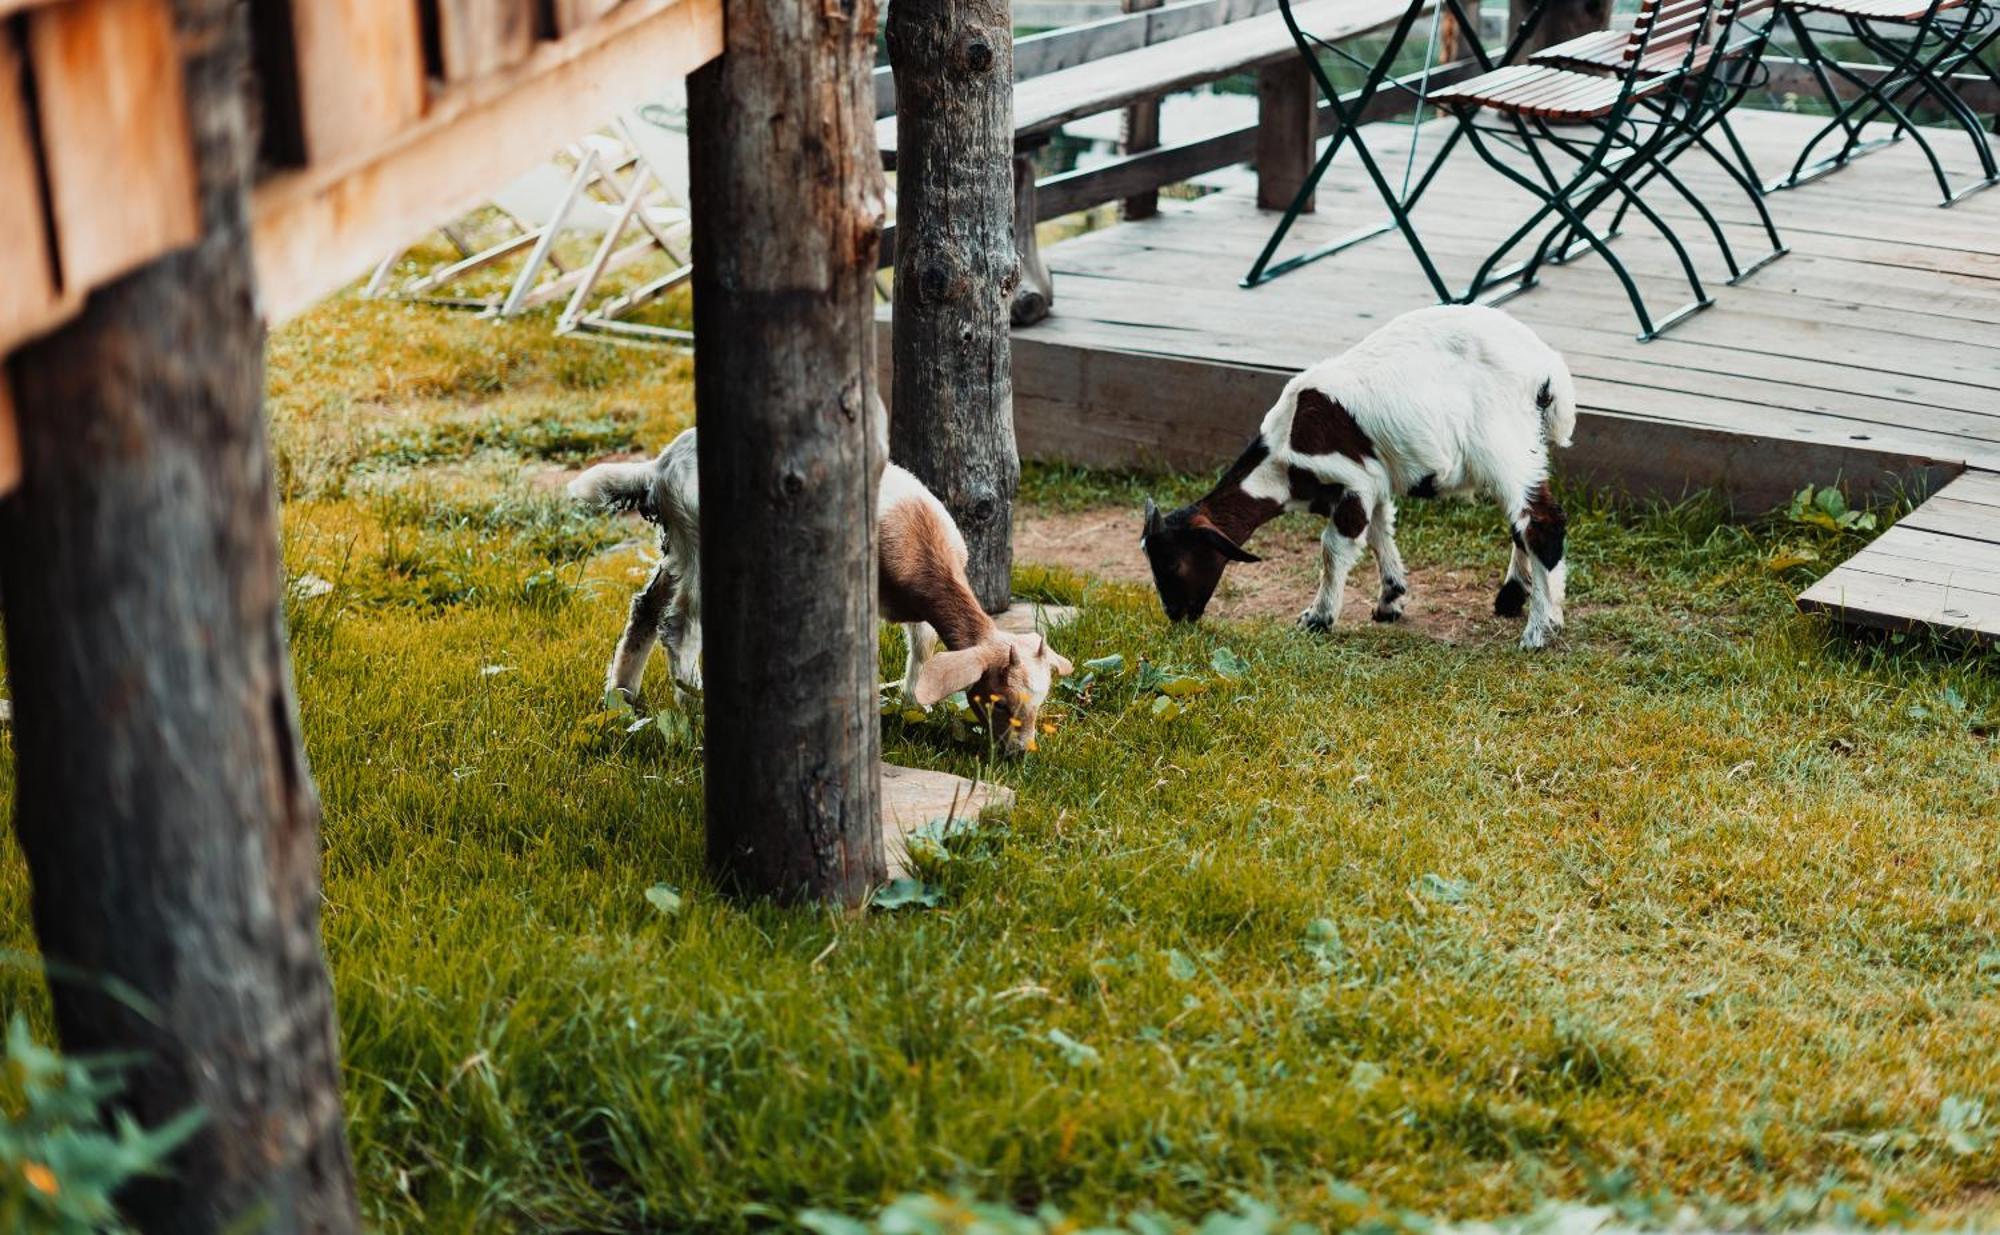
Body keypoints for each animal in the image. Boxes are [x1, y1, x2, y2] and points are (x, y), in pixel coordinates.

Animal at [572, 427, 1072, 755]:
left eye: (1040, 701)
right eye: (999, 701)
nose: (1019, 753)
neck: (921, 547)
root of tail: (660, 466)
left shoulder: (917, 609)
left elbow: (923, 650)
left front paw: (914, 705)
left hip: (677, 543)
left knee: (645, 608)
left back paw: (621, 697)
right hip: (699, 542)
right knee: (679, 625)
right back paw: (692, 702)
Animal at [1144, 303, 1576, 647]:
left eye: (1172, 563)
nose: (1176, 615)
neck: (1284, 454)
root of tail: (1548, 367)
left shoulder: (1355, 482)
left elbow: (1335, 547)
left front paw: (1317, 618)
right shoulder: (1377, 482)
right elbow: (1380, 532)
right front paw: (1390, 600)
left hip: (1503, 443)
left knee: (1541, 521)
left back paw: (1540, 630)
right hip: (1527, 445)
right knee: (1522, 523)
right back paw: (1514, 599)